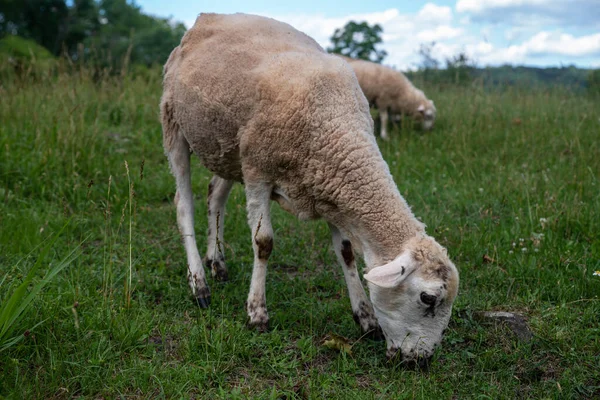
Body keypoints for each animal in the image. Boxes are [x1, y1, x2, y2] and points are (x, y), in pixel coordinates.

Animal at [159, 12, 460, 366]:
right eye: (428, 298)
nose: (420, 362)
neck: (336, 126)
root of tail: (205, 19)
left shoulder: (329, 188)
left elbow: (346, 252)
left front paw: (366, 317)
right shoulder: (259, 173)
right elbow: (263, 243)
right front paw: (257, 313)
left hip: (228, 150)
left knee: (214, 195)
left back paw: (216, 261)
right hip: (175, 123)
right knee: (184, 204)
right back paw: (199, 284)